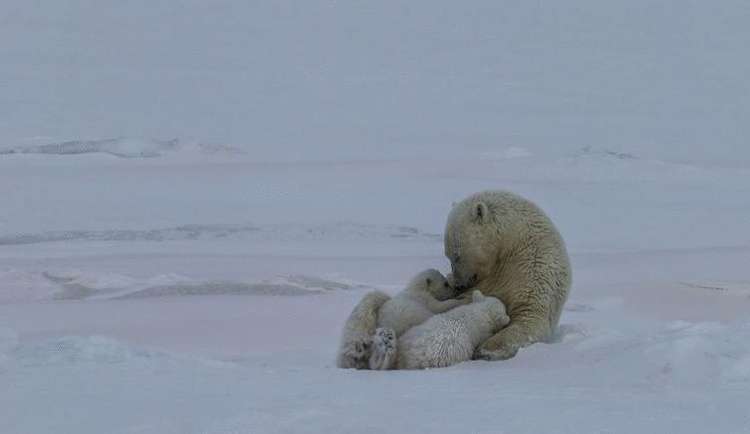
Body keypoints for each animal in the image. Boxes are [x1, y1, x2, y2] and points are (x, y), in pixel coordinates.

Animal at [446, 190, 568, 360]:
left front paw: (486, 350)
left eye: (457, 256)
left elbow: (529, 317)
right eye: (448, 256)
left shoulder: (533, 266)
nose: (458, 285)